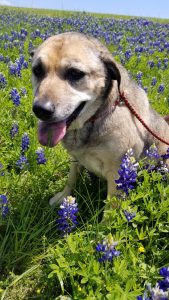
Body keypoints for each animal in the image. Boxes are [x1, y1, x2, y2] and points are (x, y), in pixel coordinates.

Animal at [31, 32, 169, 206]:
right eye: (37, 70)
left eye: (75, 73)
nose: (41, 110)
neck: (92, 120)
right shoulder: (75, 158)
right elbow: (71, 179)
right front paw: (63, 198)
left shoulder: (117, 172)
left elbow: (111, 206)